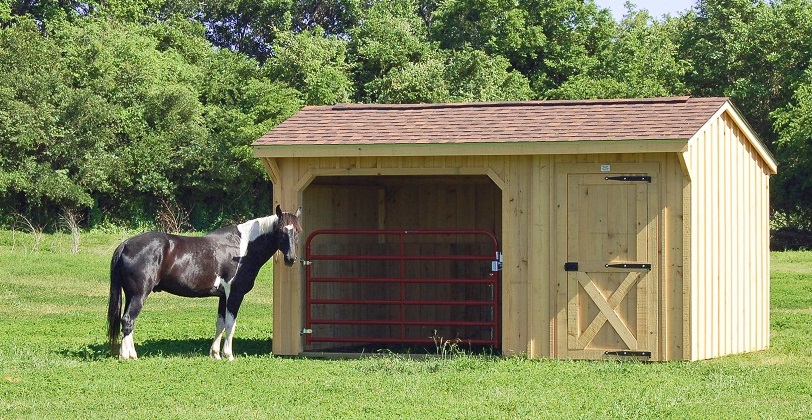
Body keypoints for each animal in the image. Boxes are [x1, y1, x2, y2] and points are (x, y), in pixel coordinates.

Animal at [104, 205, 302, 360]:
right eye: (281, 231)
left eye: (297, 231)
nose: (290, 259)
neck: (243, 248)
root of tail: (126, 244)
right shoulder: (235, 294)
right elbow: (230, 323)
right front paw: (228, 355)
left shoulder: (223, 296)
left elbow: (220, 323)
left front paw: (215, 354)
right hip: (139, 295)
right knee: (128, 320)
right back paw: (127, 356)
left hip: (131, 295)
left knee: (127, 321)